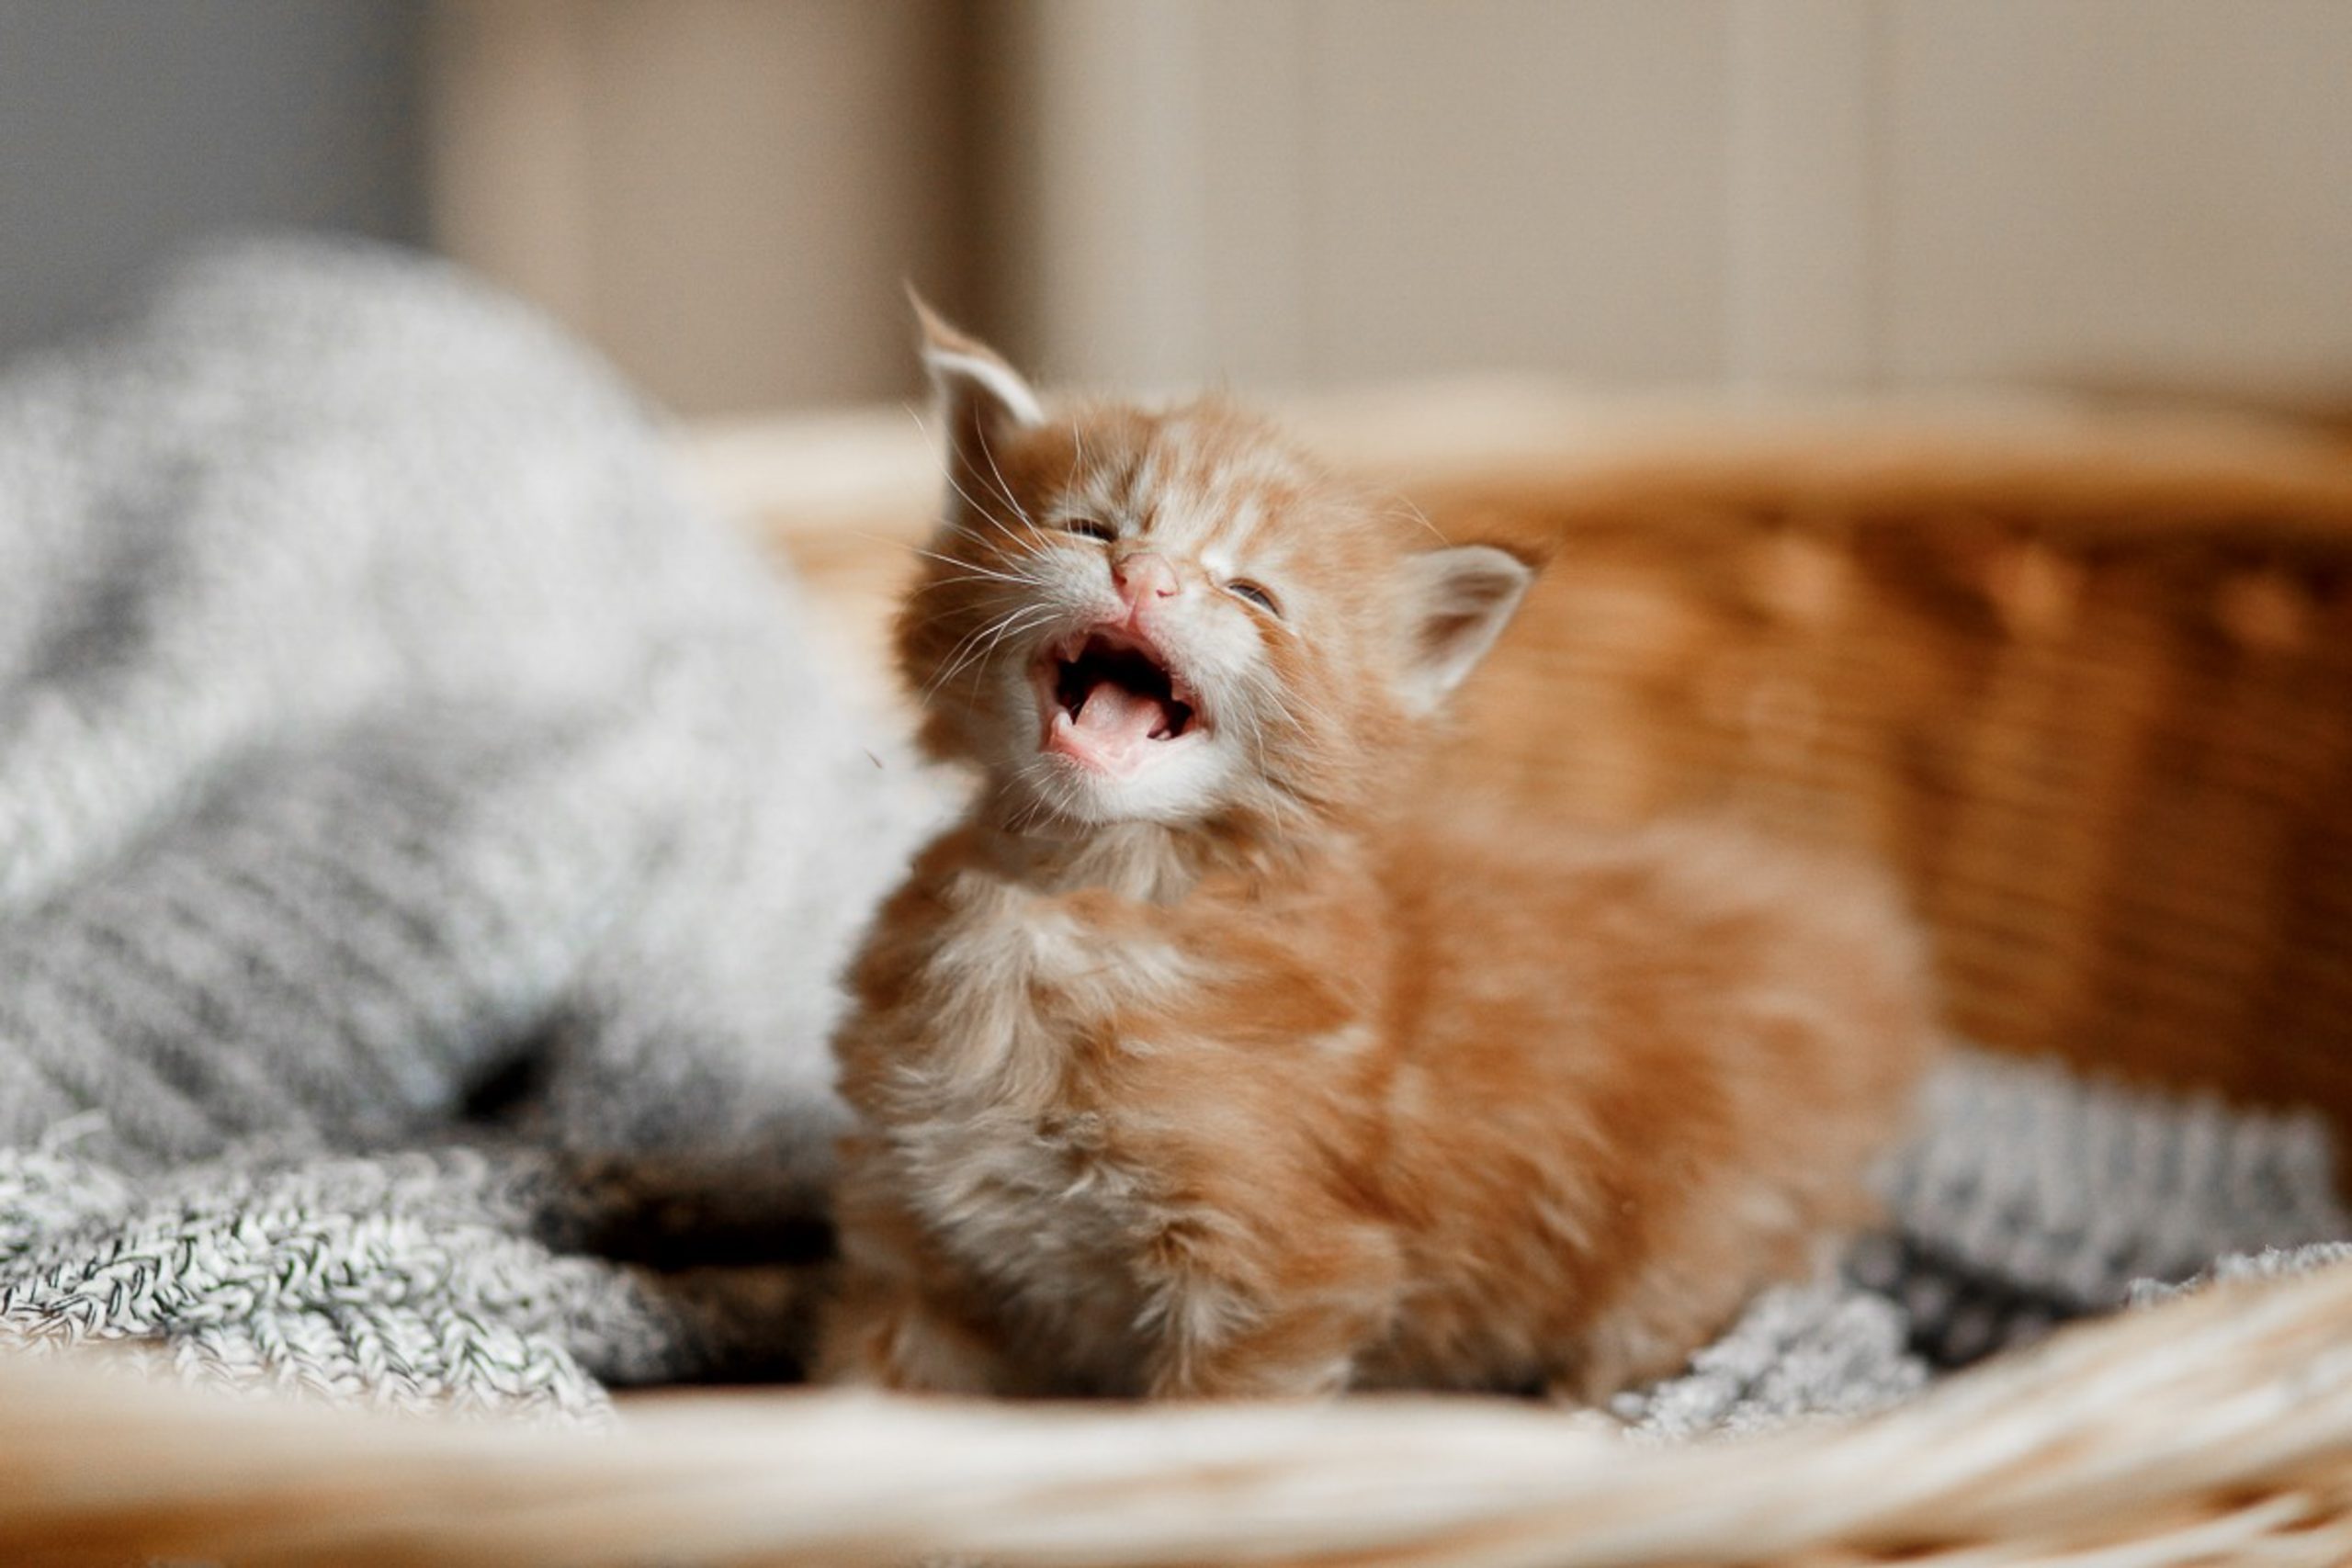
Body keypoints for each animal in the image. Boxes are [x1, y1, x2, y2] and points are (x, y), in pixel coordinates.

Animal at [818, 312, 1938, 1401]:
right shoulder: (917, 1237)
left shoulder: (1285, 1271)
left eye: (1254, 595)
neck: (1077, 898)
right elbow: (868, 1400)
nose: (1146, 577)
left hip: (1693, 1248)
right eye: (1089, 528)